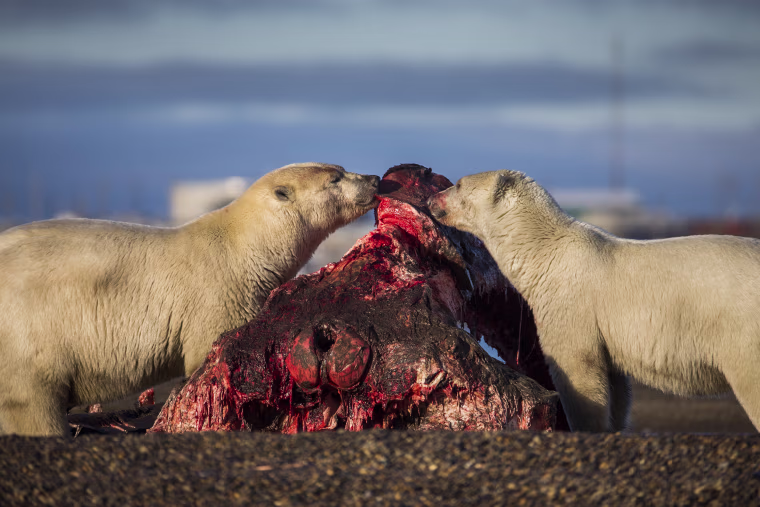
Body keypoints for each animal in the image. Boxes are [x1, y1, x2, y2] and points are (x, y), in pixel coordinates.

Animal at [0, 162, 380, 436]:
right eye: (335, 178)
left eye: (341, 166)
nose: (375, 179)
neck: (243, 246)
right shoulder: (220, 294)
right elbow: (211, 353)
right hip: (30, 338)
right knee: (32, 404)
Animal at [428, 169, 760, 433]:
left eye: (458, 184)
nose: (431, 199)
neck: (544, 253)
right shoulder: (606, 332)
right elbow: (617, 387)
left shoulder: (571, 303)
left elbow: (576, 369)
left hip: (742, 329)